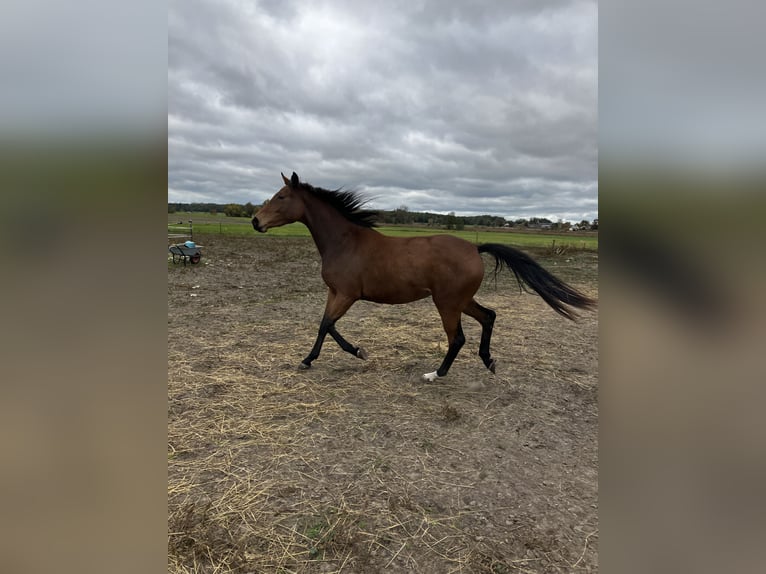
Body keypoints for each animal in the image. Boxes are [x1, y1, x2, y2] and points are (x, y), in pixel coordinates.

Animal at [255, 173, 596, 384]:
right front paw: (331, 356)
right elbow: (326, 325)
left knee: (457, 338)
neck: (345, 242)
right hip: (460, 301)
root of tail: (474, 247)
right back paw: (489, 361)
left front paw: (338, 355)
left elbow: (327, 325)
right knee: (489, 316)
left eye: (281, 196)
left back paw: (436, 374)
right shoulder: (335, 293)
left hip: (446, 303)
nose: (256, 221)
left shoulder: (348, 294)